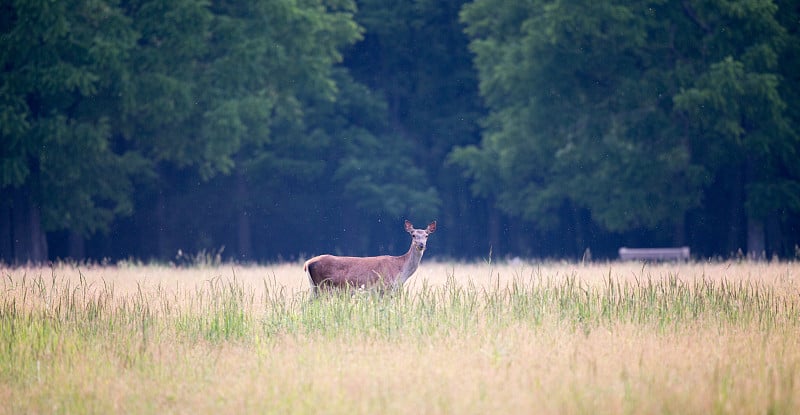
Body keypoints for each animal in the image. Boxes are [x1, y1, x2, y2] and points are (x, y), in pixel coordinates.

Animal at [304, 221, 438, 296]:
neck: (400, 271)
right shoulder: (384, 287)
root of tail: (307, 263)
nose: (421, 245)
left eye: (426, 235)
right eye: (413, 235)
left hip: (314, 287)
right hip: (322, 286)